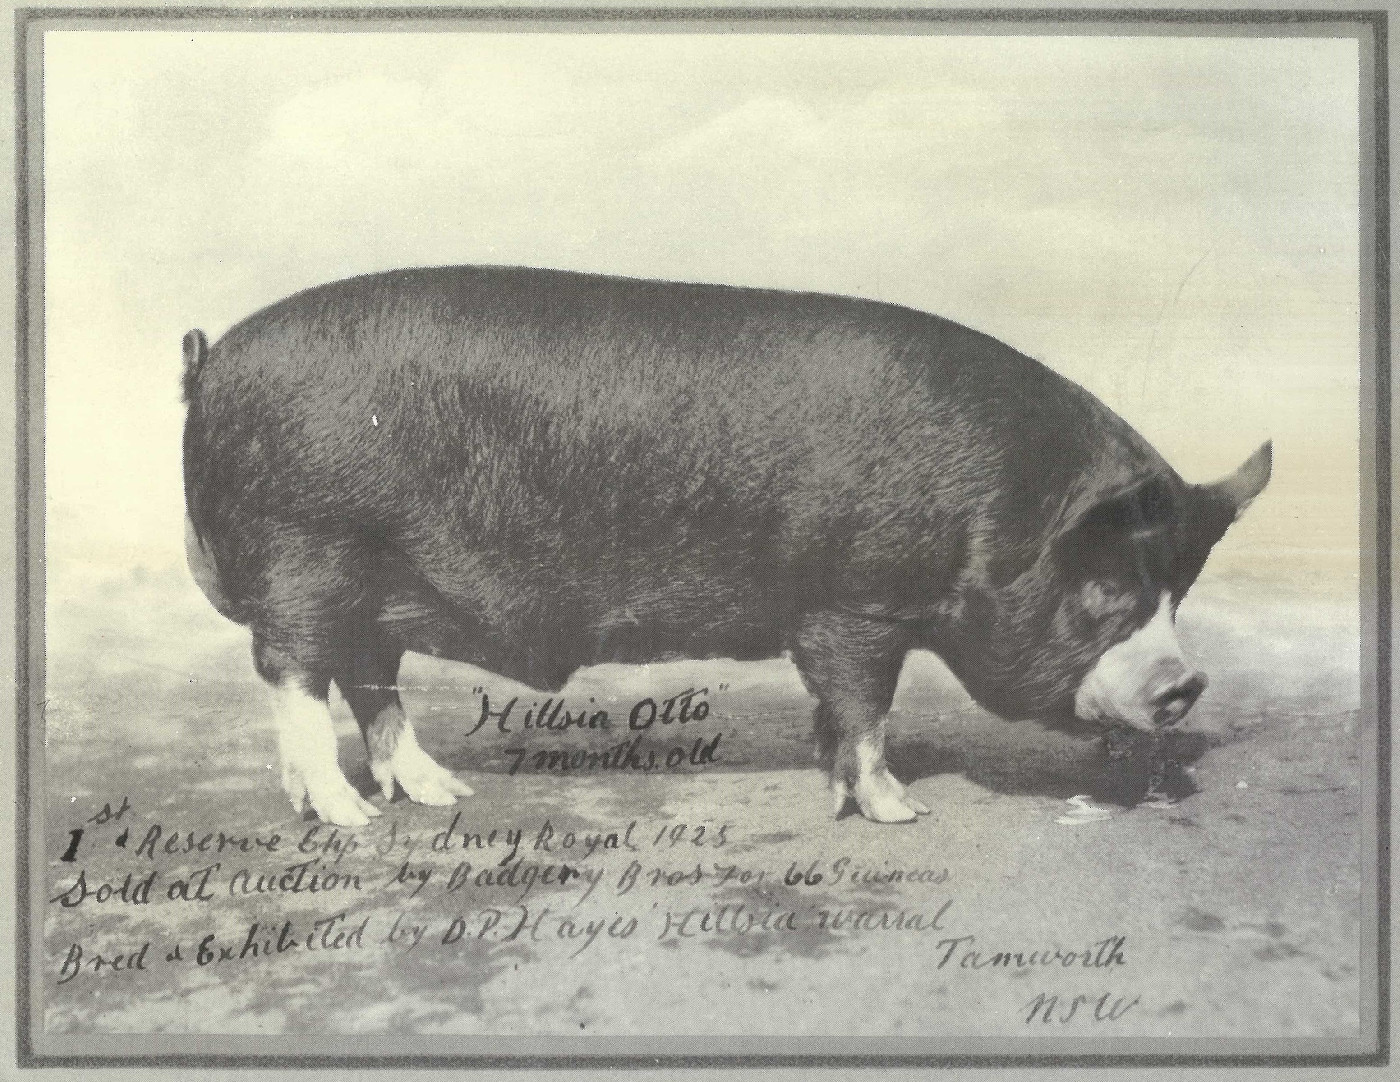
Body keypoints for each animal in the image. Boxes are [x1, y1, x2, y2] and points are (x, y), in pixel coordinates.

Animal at [181, 265, 1271, 827]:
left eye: (1174, 592)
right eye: (1103, 590)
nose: (1186, 683)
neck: (995, 509)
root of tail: (214, 357)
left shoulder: (834, 618)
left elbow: (837, 711)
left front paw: (843, 789)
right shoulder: (854, 603)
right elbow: (865, 706)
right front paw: (897, 811)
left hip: (368, 588)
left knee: (368, 685)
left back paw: (439, 793)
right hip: (306, 555)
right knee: (296, 677)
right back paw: (349, 815)